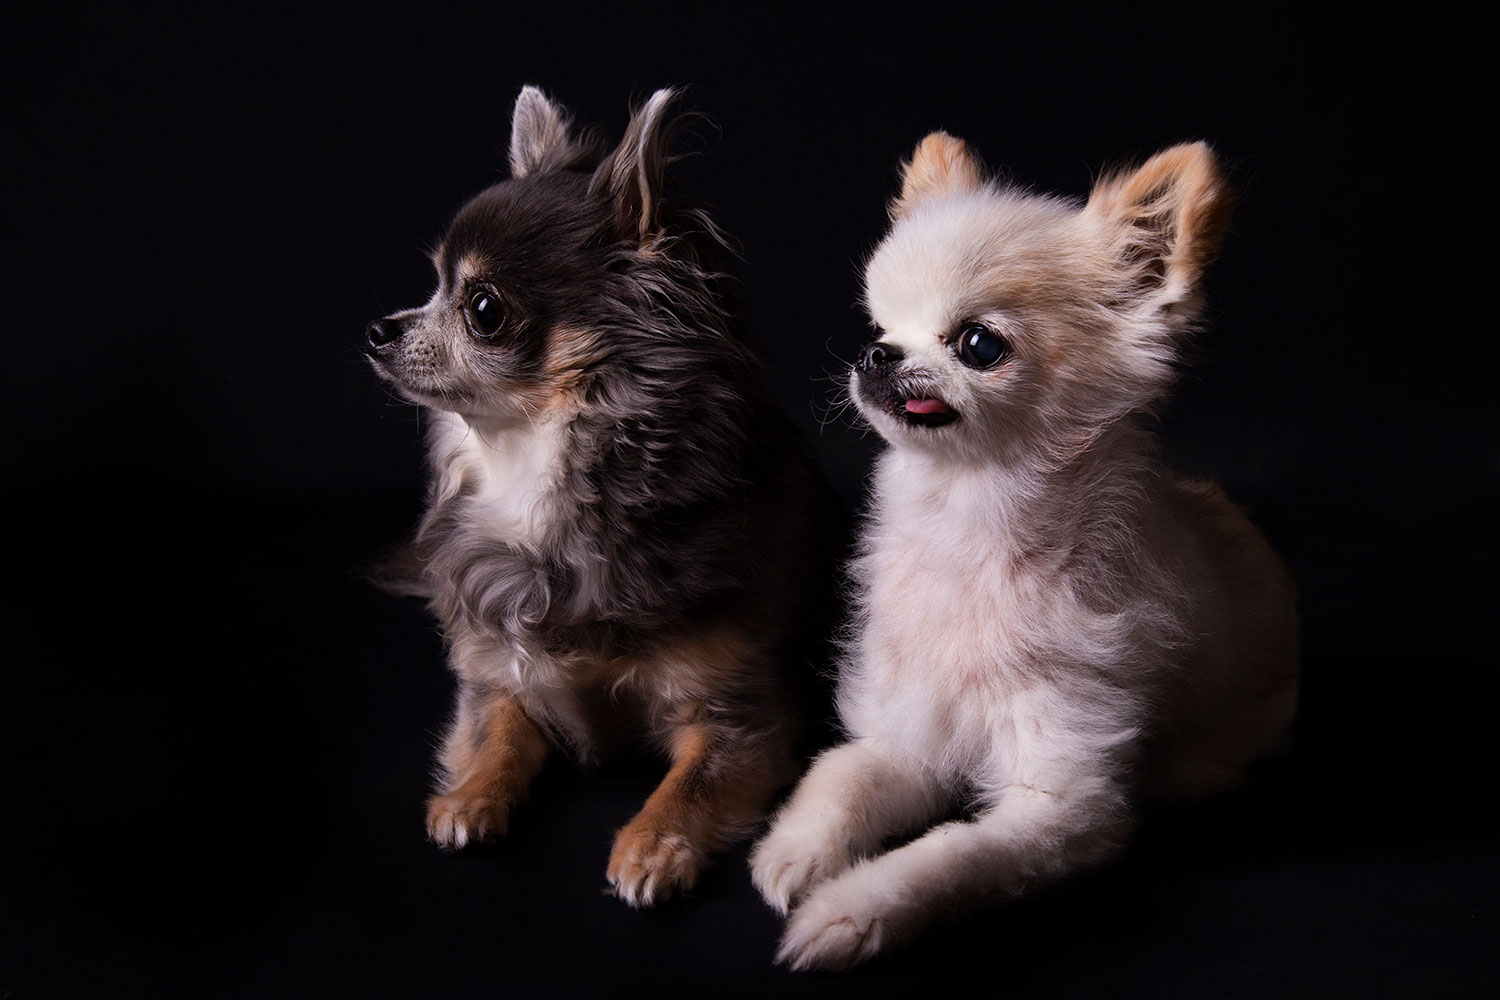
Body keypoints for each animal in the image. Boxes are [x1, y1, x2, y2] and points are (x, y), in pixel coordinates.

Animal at [367, 88, 828, 905]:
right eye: (433, 285)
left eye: (481, 307)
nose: (379, 330)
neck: (531, 480)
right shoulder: (502, 674)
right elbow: (495, 734)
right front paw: (468, 799)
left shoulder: (743, 717)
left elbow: (690, 784)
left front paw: (652, 846)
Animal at [750, 132, 1302, 971]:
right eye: (878, 324)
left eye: (978, 345)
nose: (876, 354)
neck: (966, 531)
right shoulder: (905, 741)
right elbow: (837, 777)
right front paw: (796, 851)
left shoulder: (1059, 808)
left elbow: (946, 857)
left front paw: (850, 911)